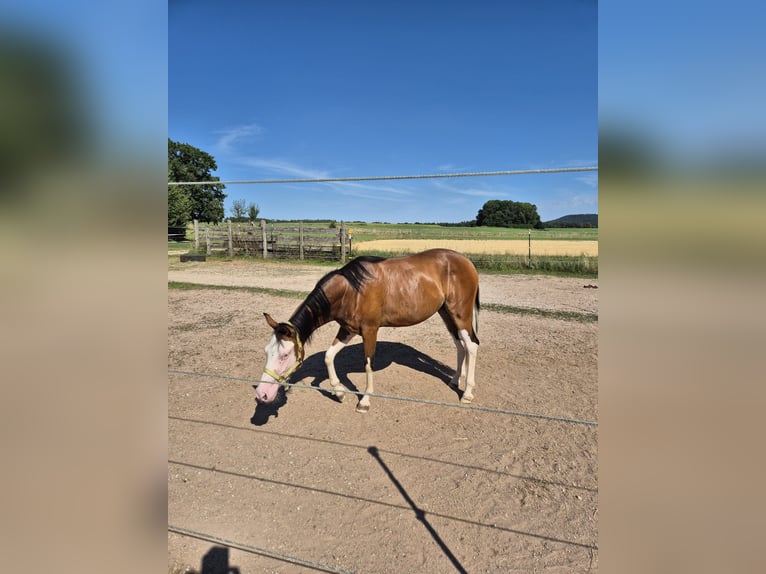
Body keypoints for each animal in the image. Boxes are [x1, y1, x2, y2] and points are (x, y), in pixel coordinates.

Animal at [260, 248, 484, 414]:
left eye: (285, 355)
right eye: (267, 351)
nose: (262, 394)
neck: (351, 290)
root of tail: (467, 262)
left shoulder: (370, 330)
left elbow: (368, 365)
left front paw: (364, 401)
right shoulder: (347, 329)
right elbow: (329, 356)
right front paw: (339, 392)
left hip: (460, 314)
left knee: (472, 345)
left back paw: (467, 393)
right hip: (446, 313)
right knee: (460, 345)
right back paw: (454, 380)